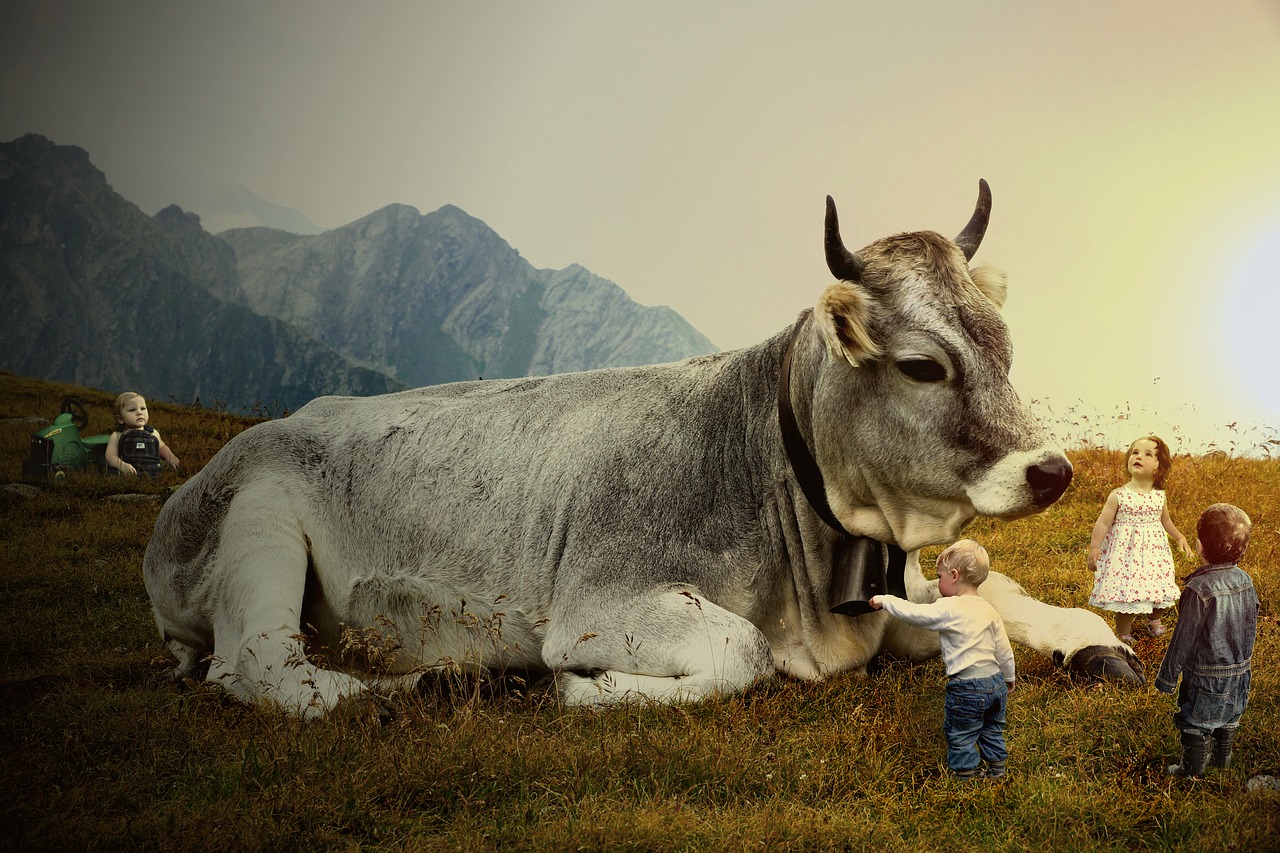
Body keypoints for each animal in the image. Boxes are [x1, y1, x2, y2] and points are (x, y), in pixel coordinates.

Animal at [145, 183, 1146, 712]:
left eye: (1003, 346)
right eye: (921, 366)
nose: (1052, 470)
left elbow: (1003, 596)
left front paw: (1092, 640)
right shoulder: (600, 598)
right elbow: (740, 651)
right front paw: (588, 690)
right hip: (258, 521)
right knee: (258, 662)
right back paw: (412, 685)